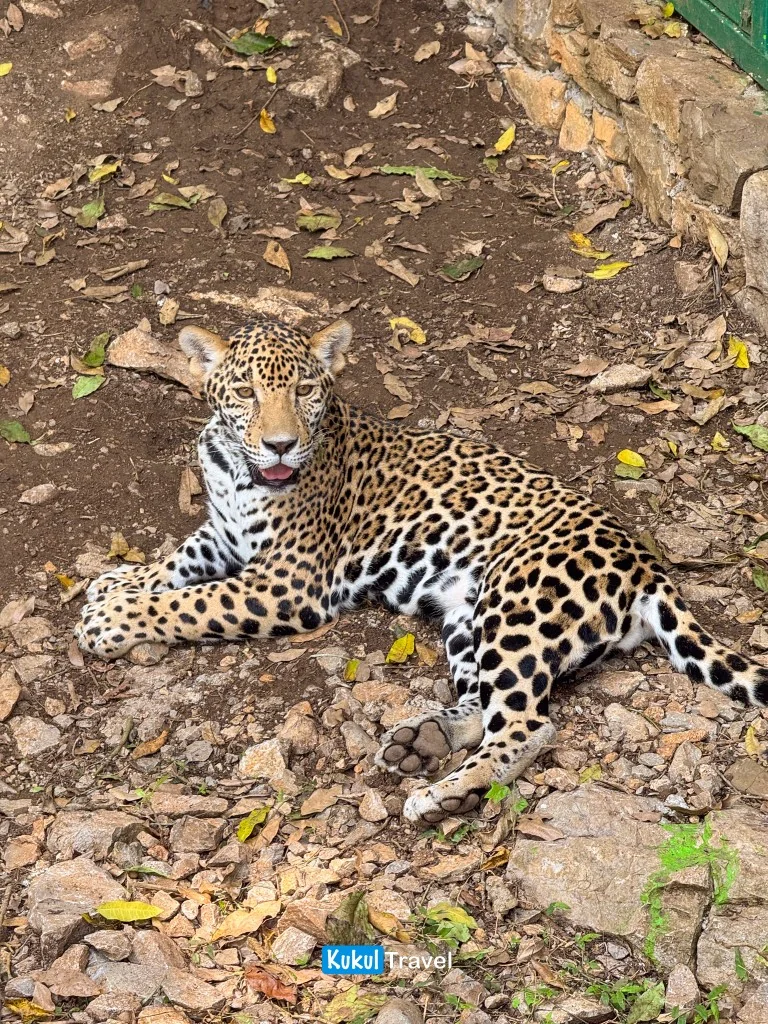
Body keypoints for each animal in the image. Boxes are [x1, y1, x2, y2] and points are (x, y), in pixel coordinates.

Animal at [75, 317, 768, 824]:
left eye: (304, 391)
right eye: (244, 392)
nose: (280, 445)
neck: (236, 469)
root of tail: (646, 562)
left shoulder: (288, 582)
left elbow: (193, 602)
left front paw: (108, 621)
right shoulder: (223, 534)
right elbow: (179, 561)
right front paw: (116, 585)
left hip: (518, 603)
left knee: (531, 722)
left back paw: (445, 794)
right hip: (468, 615)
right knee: (485, 703)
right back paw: (423, 741)